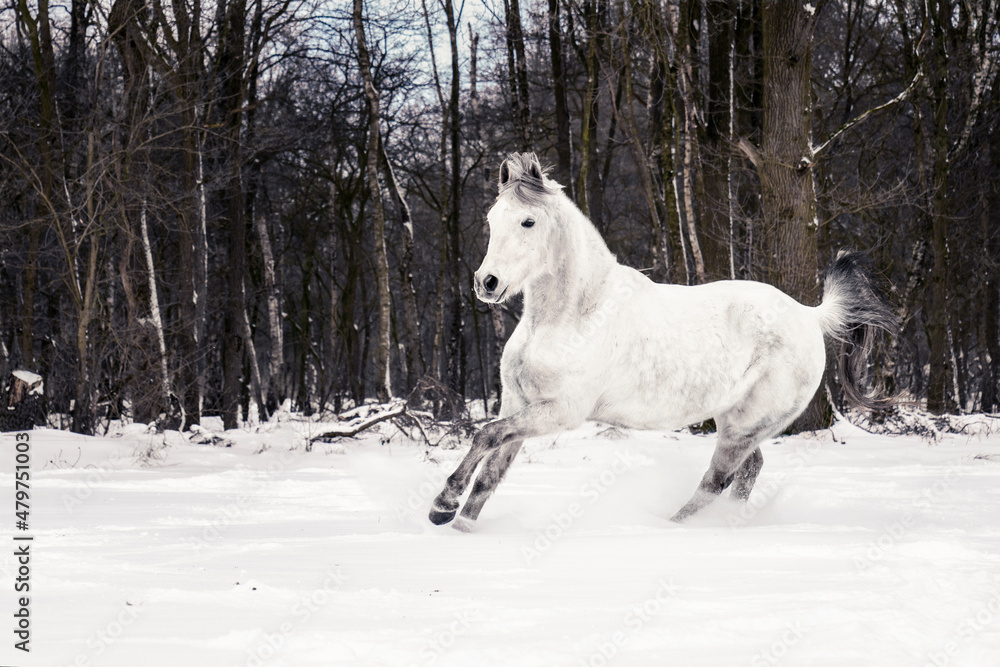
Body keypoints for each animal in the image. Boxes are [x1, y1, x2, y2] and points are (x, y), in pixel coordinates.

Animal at [429, 152, 896, 531]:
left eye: (528, 221)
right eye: (492, 220)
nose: (487, 283)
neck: (572, 316)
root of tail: (810, 315)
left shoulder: (560, 412)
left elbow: (485, 436)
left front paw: (442, 505)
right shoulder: (518, 403)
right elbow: (491, 468)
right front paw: (458, 526)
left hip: (746, 424)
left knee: (718, 480)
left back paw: (668, 528)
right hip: (736, 420)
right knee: (747, 472)